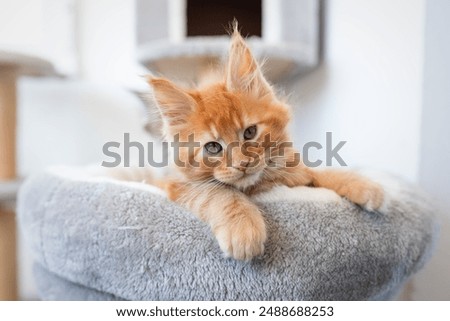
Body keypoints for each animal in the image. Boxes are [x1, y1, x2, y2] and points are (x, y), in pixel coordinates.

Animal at [149, 26, 384, 258]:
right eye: (213, 147)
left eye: (250, 132)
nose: (242, 163)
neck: (259, 184)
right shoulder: (182, 186)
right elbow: (222, 193)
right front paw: (243, 229)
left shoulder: (295, 170)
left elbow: (320, 171)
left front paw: (365, 186)